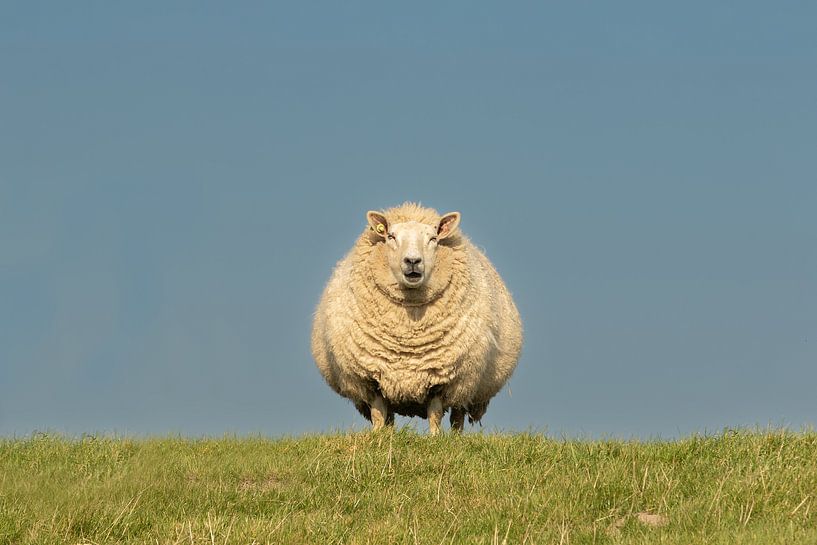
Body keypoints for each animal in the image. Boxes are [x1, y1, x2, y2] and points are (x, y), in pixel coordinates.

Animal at [311, 202, 522, 434]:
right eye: (391, 237)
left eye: (433, 239)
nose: (412, 261)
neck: (409, 331)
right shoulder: (371, 377)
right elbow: (378, 413)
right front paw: (377, 436)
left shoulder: (441, 379)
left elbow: (435, 413)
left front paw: (435, 437)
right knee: (390, 416)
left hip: (466, 383)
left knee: (458, 415)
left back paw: (456, 437)